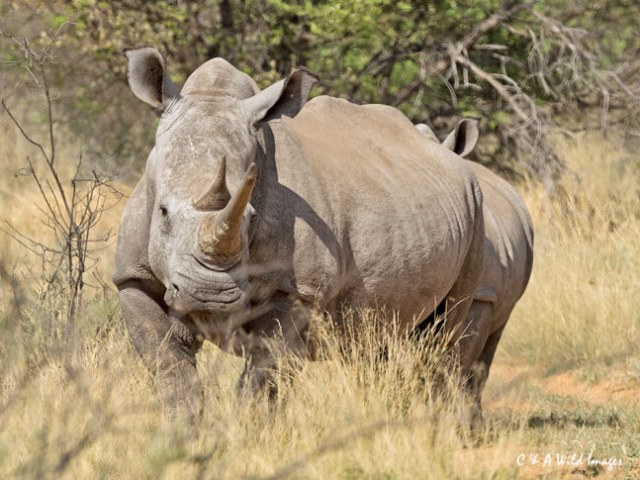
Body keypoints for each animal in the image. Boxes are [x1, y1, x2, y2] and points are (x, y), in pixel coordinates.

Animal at [113, 47, 486, 421]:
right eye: (162, 212)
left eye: (250, 218)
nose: (208, 295)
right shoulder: (133, 276)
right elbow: (170, 368)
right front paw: (182, 430)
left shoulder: (298, 290)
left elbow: (264, 373)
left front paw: (250, 429)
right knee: (381, 340)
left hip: (477, 204)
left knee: (443, 337)